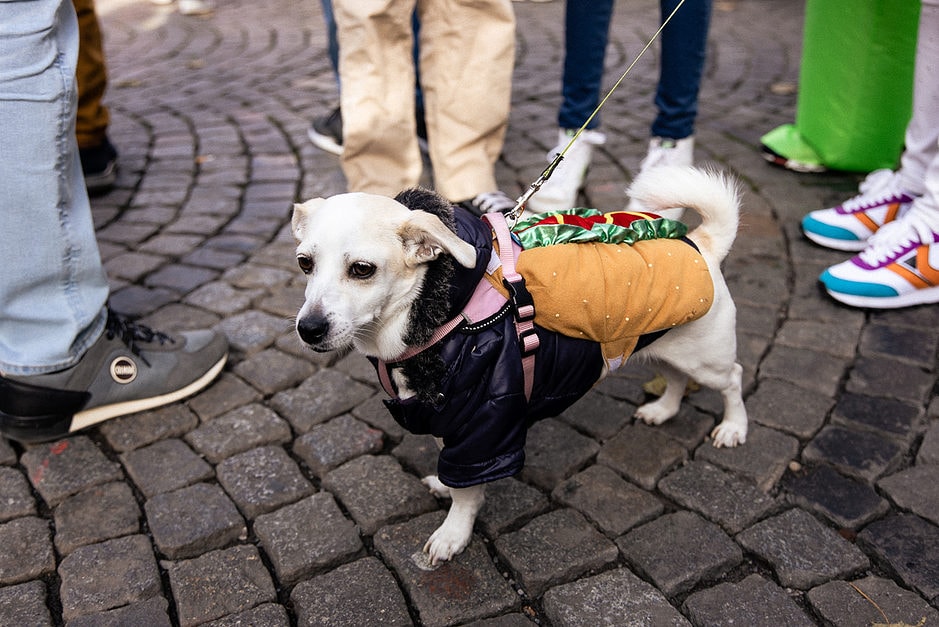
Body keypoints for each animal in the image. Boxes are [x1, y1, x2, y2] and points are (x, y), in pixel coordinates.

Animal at [294, 164, 748, 568]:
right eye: (304, 263)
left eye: (362, 270)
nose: (309, 328)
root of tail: (701, 244)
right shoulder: (448, 417)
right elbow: (453, 470)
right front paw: (443, 484)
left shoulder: (484, 426)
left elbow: (467, 493)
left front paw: (453, 534)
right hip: (665, 346)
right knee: (676, 378)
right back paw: (663, 410)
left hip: (708, 359)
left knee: (733, 380)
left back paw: (733, 428)